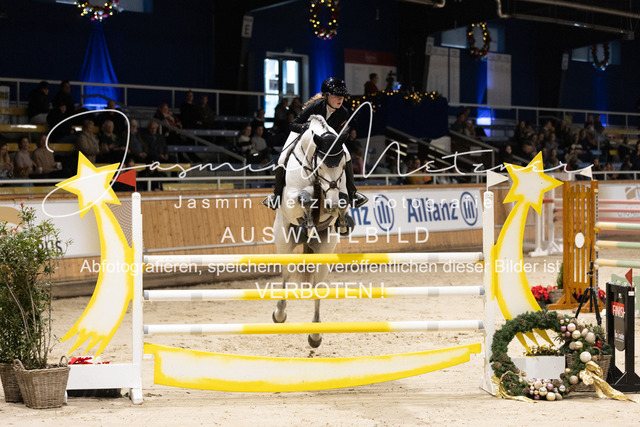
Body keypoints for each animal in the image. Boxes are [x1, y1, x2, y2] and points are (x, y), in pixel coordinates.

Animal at [271, 115, 352, 348]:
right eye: (322, 165)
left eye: (342, 164)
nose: (331, 204)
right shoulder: (292, 198)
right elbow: (304, 198)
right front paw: (308, 218)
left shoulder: (337, 193)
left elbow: (343, 199)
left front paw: (342, 219)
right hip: (284, 242)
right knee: (286, 275)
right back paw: (279, 314)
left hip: (324, 249)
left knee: (318, 286)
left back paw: (315, 335)